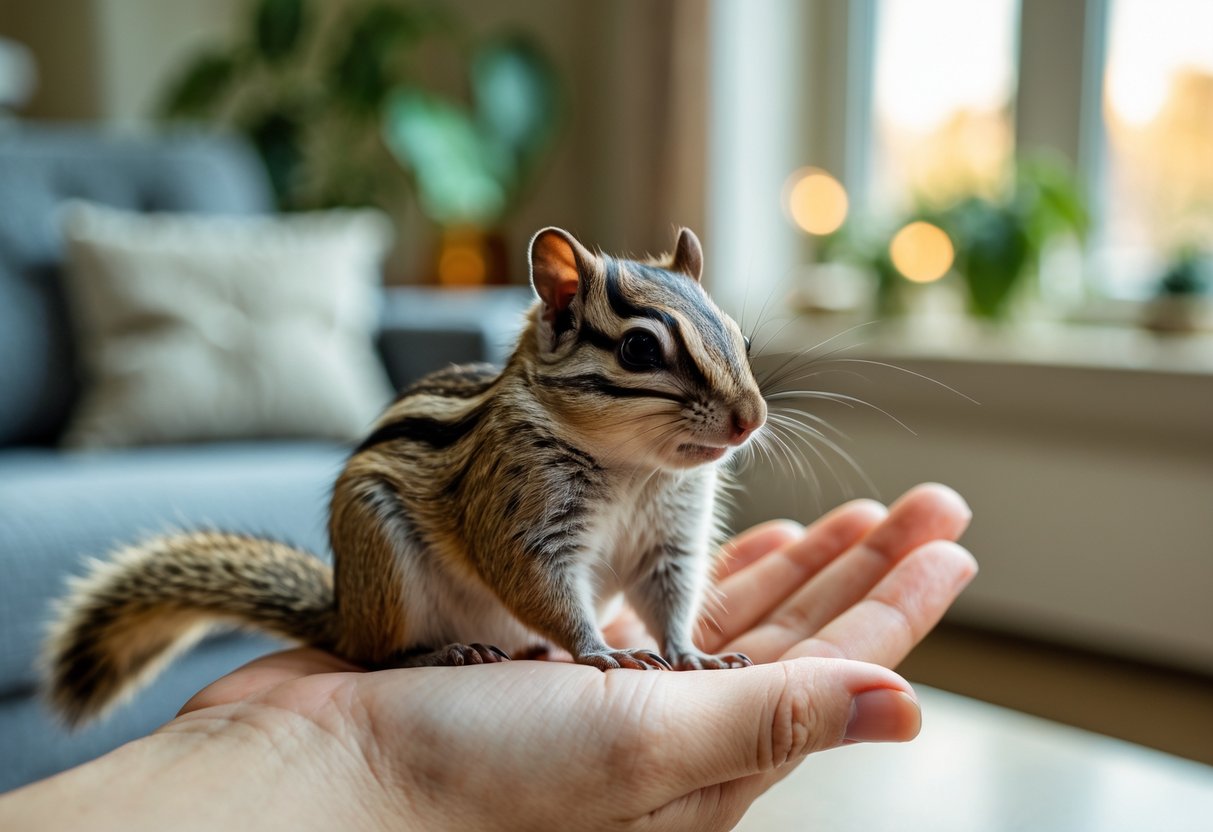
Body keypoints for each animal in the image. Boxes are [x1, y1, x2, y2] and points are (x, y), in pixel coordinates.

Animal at [43, 226, 768, 727]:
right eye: (639, 348)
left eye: (740, 337)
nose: (750, 419)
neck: (634, 469)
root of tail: (346, 615)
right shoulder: (521, 520)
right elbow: (543, 588)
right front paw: (600, 652)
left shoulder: (669, 542)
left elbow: (669, 599)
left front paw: (692, 655)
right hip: (385, 561)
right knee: (375, 657)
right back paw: (445, 654)